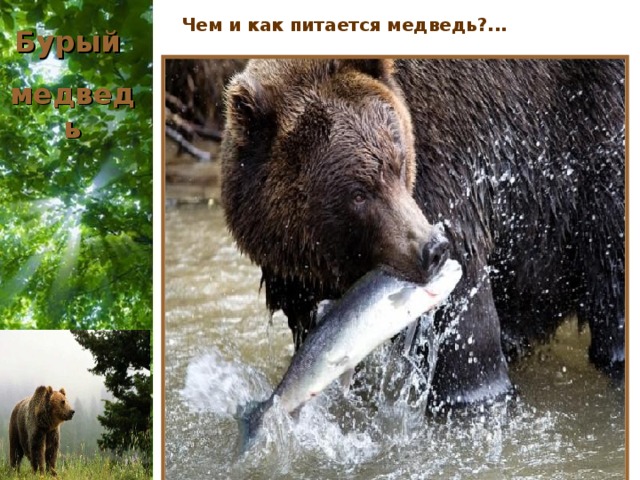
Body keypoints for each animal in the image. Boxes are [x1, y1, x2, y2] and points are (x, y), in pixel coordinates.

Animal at [220, 59, 625, 409]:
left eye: (398, 165)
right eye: (358, 193)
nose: (433, 248)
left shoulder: (451, 181)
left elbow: (466, 340)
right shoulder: (297, 278)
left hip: (593, 141)